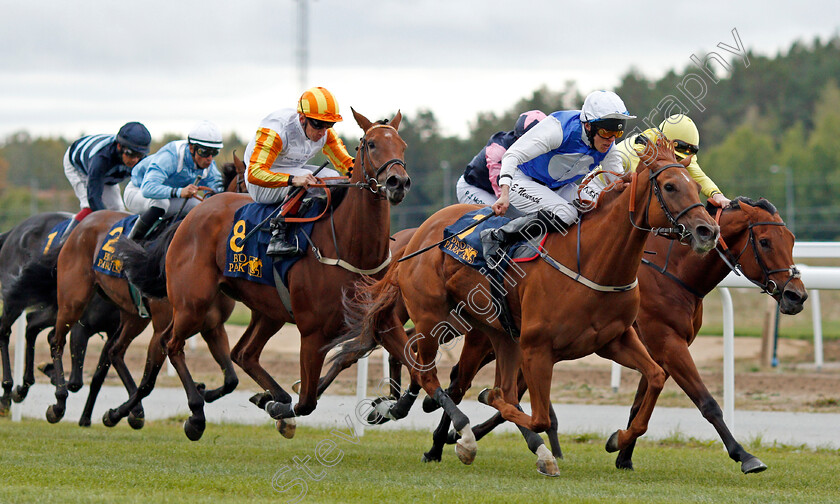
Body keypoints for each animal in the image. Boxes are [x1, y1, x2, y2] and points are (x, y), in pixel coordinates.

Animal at [0, 213, 120, 418]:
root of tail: (13, 231)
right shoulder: (81, 325)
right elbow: (76, 381)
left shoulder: (114, 329)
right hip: (20, 297)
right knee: (5, 331)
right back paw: (8, 390)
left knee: (32, 325)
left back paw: (23, 386)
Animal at [115, 108, 410, 440]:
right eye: (371, 144)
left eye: (402, 146)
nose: (398, 182)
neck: (349, 247)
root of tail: (190, 217)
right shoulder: (312, 332)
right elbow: (307, 400)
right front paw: (279, 408)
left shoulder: (381, 321)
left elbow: (415, 363)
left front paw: (390, 407)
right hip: (192, 303)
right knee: (170, 344)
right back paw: (195, 414)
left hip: (268, 311)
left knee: (242, 353)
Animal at [326, 137, 716, 472]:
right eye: (670, 186)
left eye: (696, 187)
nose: (707, 231)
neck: (591, 261)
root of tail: (417, 235)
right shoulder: (537, 348)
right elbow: (530, 410)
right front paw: (483, 408)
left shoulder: (614, 340)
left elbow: (656, 377)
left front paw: (617, 440)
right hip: (432, 317)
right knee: (426, 372)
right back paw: (458, 432)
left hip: (496, 331)